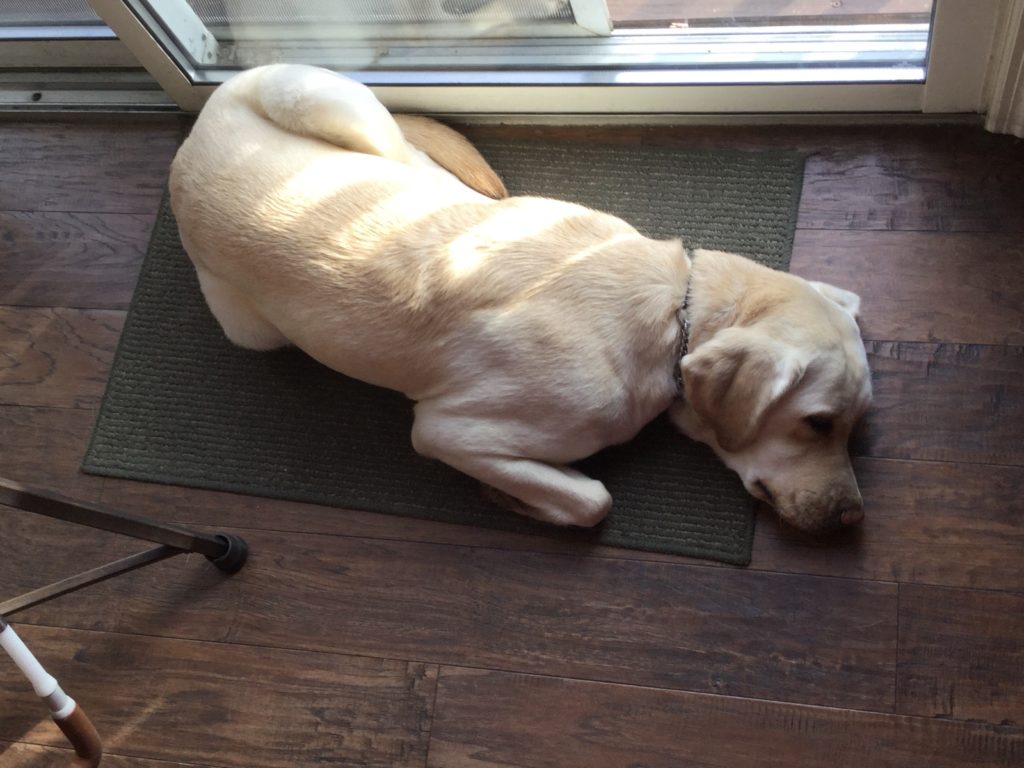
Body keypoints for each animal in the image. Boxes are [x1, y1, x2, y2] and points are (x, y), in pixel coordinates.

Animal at [169, 64, 872, 536]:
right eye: (817, 423)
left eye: (855, 424)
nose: (852, 517)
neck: (675, 311)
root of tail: (200, 125)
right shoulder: (448, 429)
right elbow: (594, 500)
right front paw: (518, 498)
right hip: (257, 311)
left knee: (416, 156)